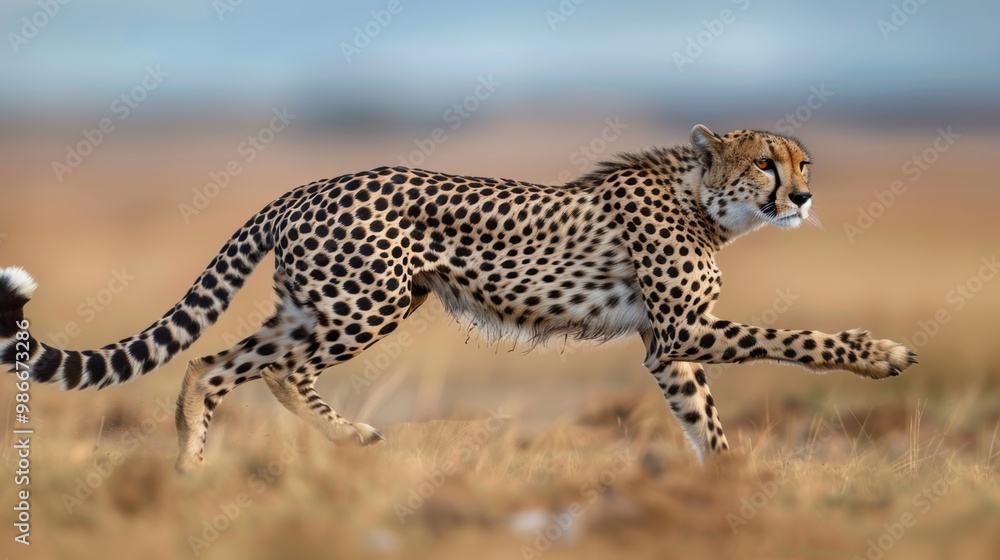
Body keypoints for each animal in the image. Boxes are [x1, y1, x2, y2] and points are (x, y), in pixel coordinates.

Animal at [0, 124, 917, 472]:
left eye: (803, 162)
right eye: (766, 162)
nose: (802, 196)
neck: (703, 198)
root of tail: (305, 185)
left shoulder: (670, 345)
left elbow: (705, 420)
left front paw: (727, 486)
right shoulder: (686, 327)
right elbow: (796, 338)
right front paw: (879, 353)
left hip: (331, 303)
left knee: (236, 364)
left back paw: (312, 440)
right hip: (361, 303)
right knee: (242, 365)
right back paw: (206, 455)